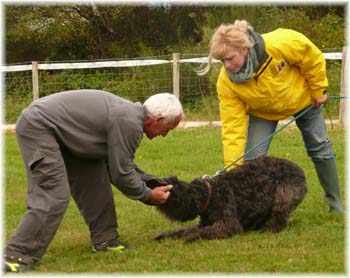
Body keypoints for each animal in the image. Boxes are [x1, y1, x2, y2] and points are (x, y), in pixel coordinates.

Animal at [150, 156, 306, 243]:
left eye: (172, 196)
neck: (210, 195)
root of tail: (300, 171)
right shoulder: (203, 224)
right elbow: (181, 231)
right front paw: (165, 235)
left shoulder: (228, 224)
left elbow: (204, 232)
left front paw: (192, 237)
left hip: (282, 196)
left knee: (280, 217)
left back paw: (271, 229)